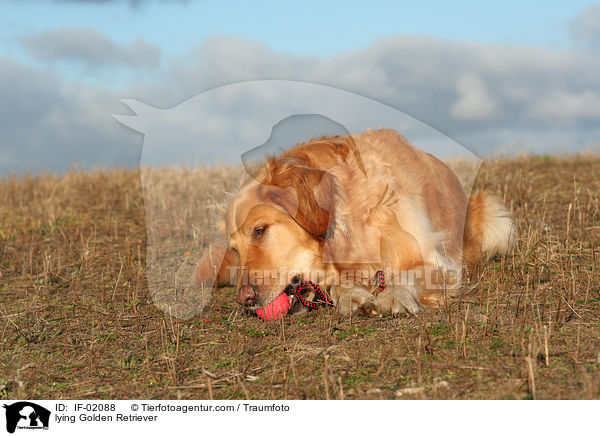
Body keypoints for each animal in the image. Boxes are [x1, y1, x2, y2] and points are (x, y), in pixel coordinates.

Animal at [196, 127, 516, 318]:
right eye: (234, 250)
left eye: (260, 230)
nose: (244, 299)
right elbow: (340, 286)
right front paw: (352, 296)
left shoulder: (436, 260)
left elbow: (407, 274)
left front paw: (393, 296)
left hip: (495, 220)